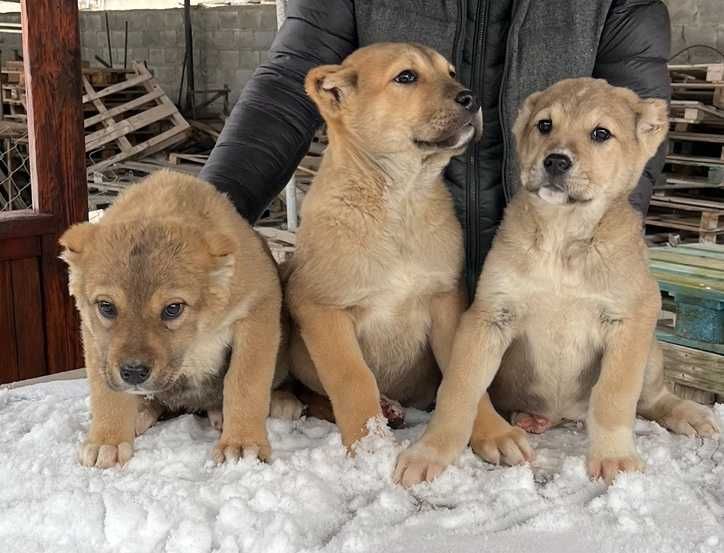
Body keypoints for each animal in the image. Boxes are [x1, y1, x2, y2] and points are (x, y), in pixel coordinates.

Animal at [58, 171, 302, 466]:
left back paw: (275, 401)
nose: (133, 372)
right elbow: (107, 393)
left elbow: (245, 381)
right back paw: (142, 411)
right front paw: (108, 440)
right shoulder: (95, 338)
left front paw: (243, 442)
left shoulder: (257, 308)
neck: (198, 330)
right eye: (106, 307)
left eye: (173, 308)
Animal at [286, 43, 484, 448]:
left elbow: (464, 372)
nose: (472, 98)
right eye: (406, 76)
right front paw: (369, 448)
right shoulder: (320, 309)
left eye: (452, 72)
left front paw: (497, 432)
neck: (400, 203)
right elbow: (353, 379)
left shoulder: (446, 299)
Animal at [396, 78, 720, 488]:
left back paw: (690, 414)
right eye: (545, 125)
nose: (555, 161)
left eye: (601, 133)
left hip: (649, 351)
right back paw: (530, 419)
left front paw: (614, 457)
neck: (562, 239)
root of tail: (564, 414)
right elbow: (459, 389)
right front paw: (430, 452)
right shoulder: (489, 316)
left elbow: (614, 397)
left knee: (651, 398)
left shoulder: (633, 318)